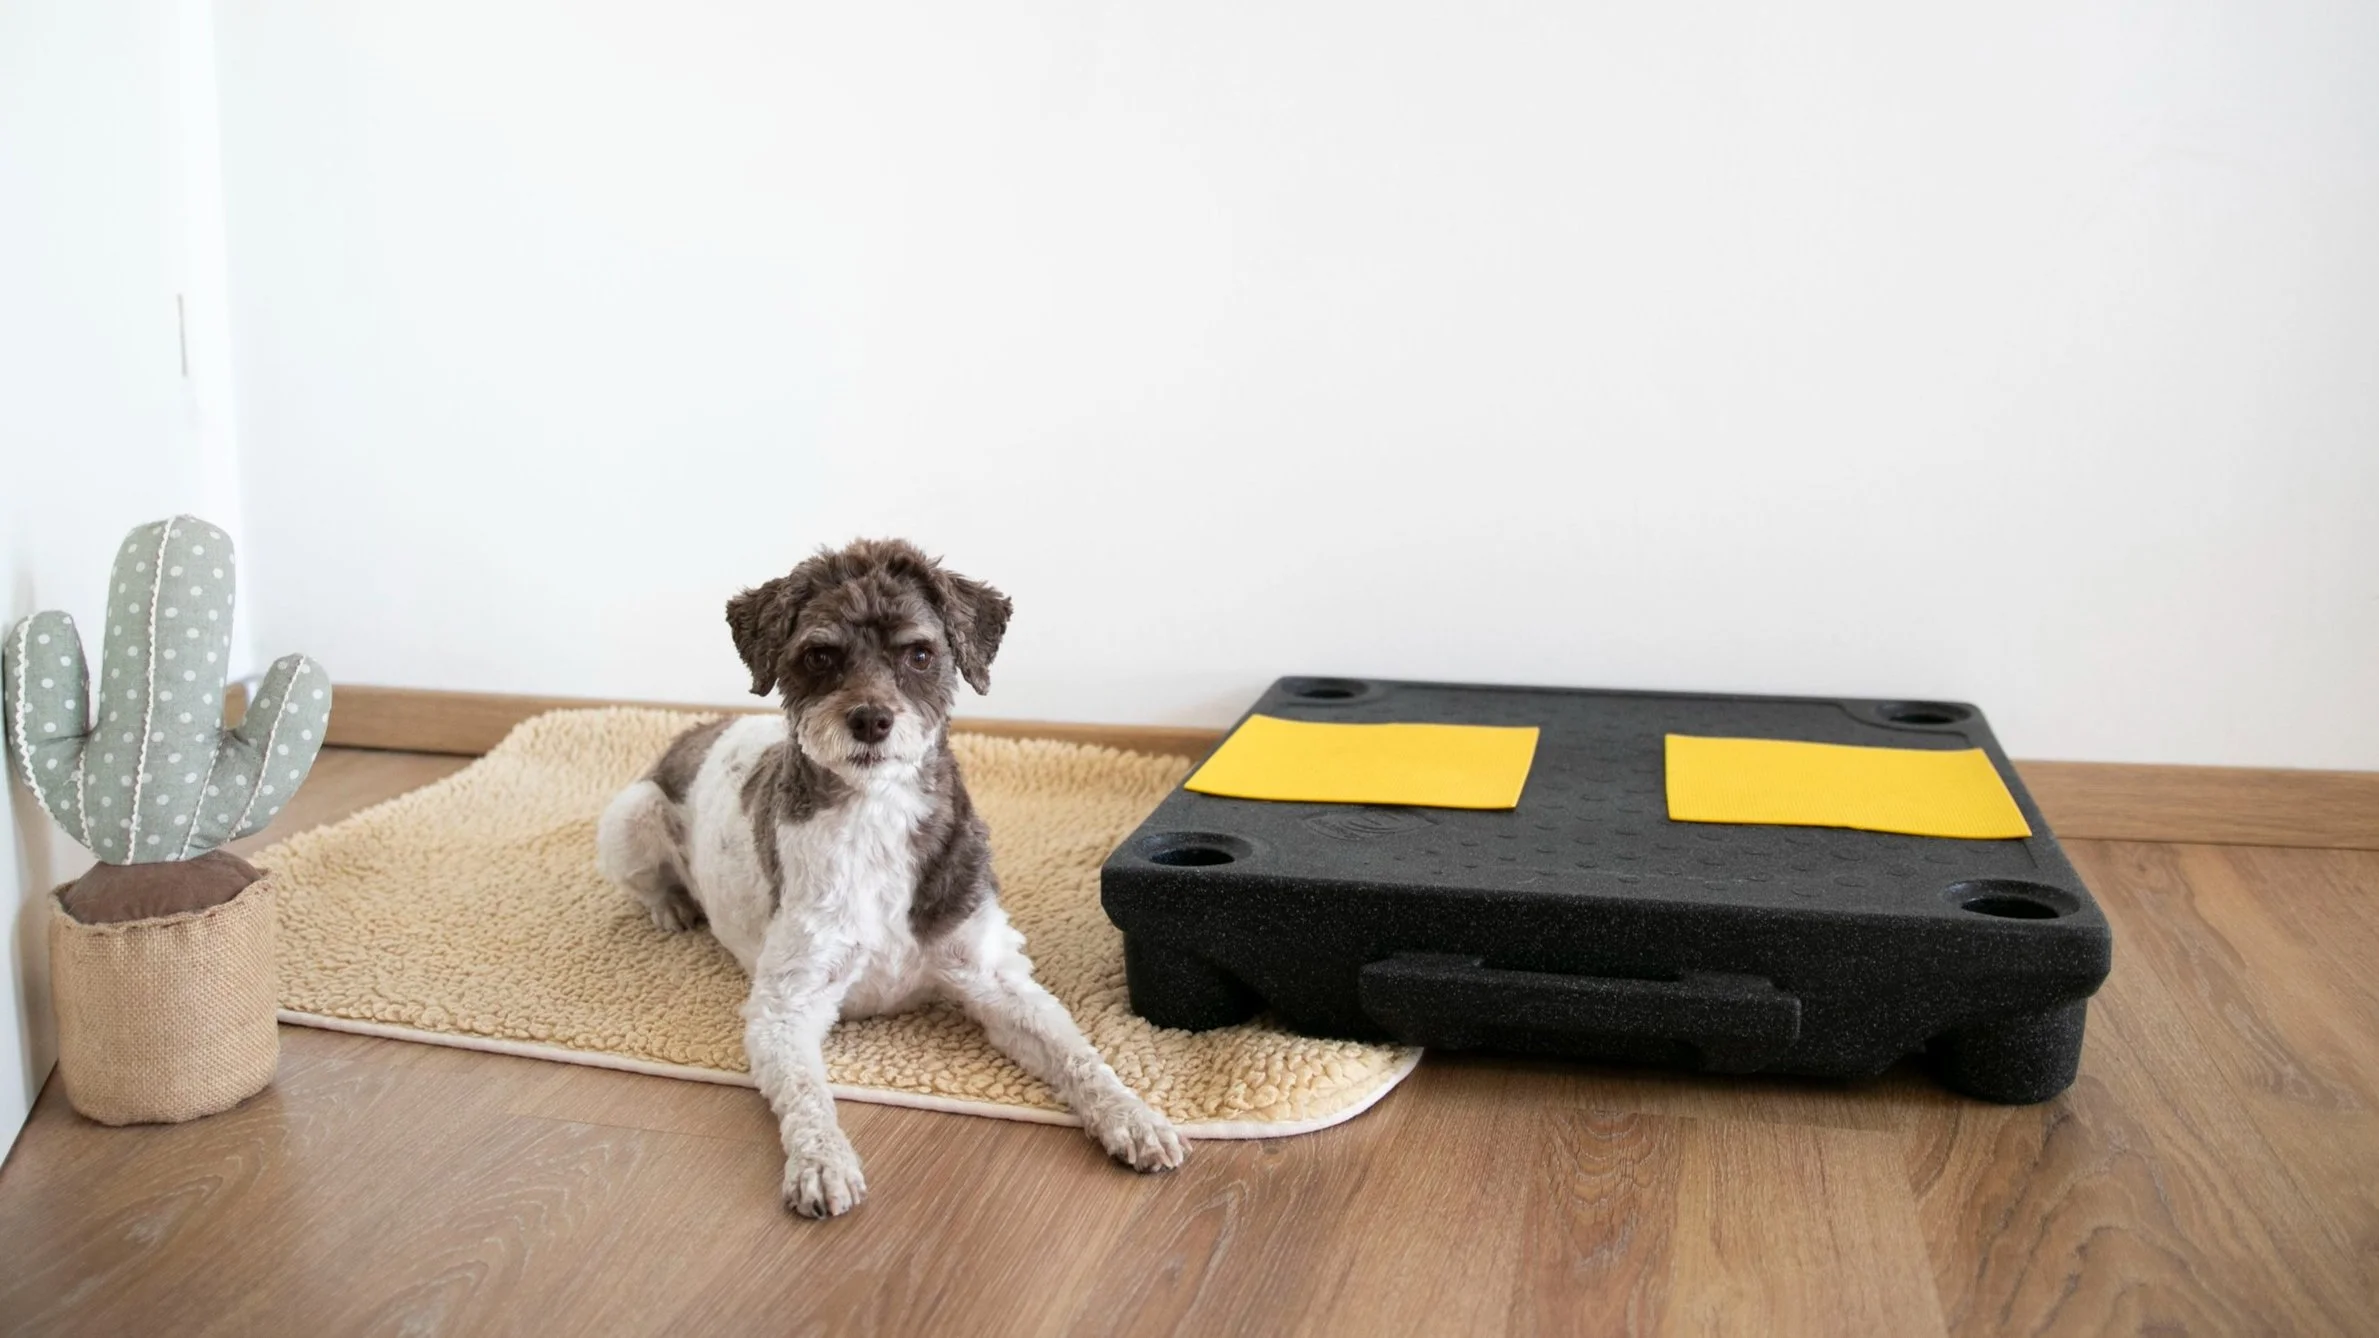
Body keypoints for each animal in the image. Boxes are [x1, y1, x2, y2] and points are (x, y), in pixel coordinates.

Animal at [595, 539, 1185, 1217]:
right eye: (819, 655)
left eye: (920, 654)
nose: (871, 719)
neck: (877, 815)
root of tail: (703, 727)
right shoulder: (785, 1007)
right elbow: (806, 1094)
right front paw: (822, 1163)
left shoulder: (996, 979)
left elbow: (1079, 1054)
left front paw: (1134, 1117)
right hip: (632, 815)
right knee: (647, 873)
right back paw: (672, 905)